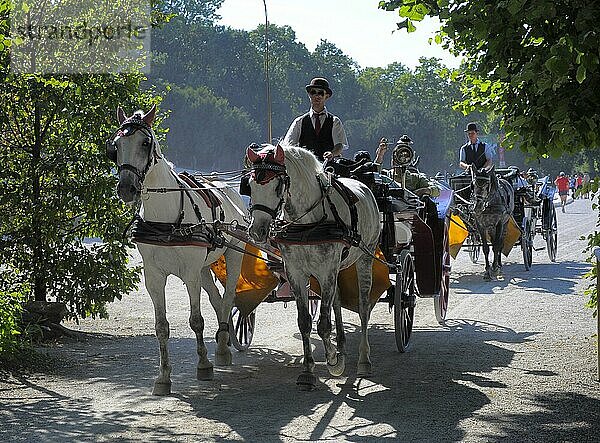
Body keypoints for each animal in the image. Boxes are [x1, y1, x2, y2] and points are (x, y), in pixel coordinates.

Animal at [107, 106, 246, 396]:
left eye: (145, 143)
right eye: (115, 146)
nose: (126, 188)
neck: (166, 215)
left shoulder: (189, 274)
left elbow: (196, 320)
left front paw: (203, 365)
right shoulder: (154, 277)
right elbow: (161, 326)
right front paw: (163, 377)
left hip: (234, 254)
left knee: (228, 298)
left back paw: (223, 349)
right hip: (205, 266)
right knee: (217, 300)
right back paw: (223, 342)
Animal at [245, 144, 380, 390]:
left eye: (278, 185)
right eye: (249, 185)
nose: (257, 231)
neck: (306, 224)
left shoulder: (326, 271)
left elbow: (324, 324)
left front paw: (333, 363)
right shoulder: (296, 272)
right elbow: (305, 322)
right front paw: (309, 370)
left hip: (365, 258)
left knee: (364, 306)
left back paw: (364, 359)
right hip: (337, 268)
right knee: (336, 300)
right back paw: (341, 345)